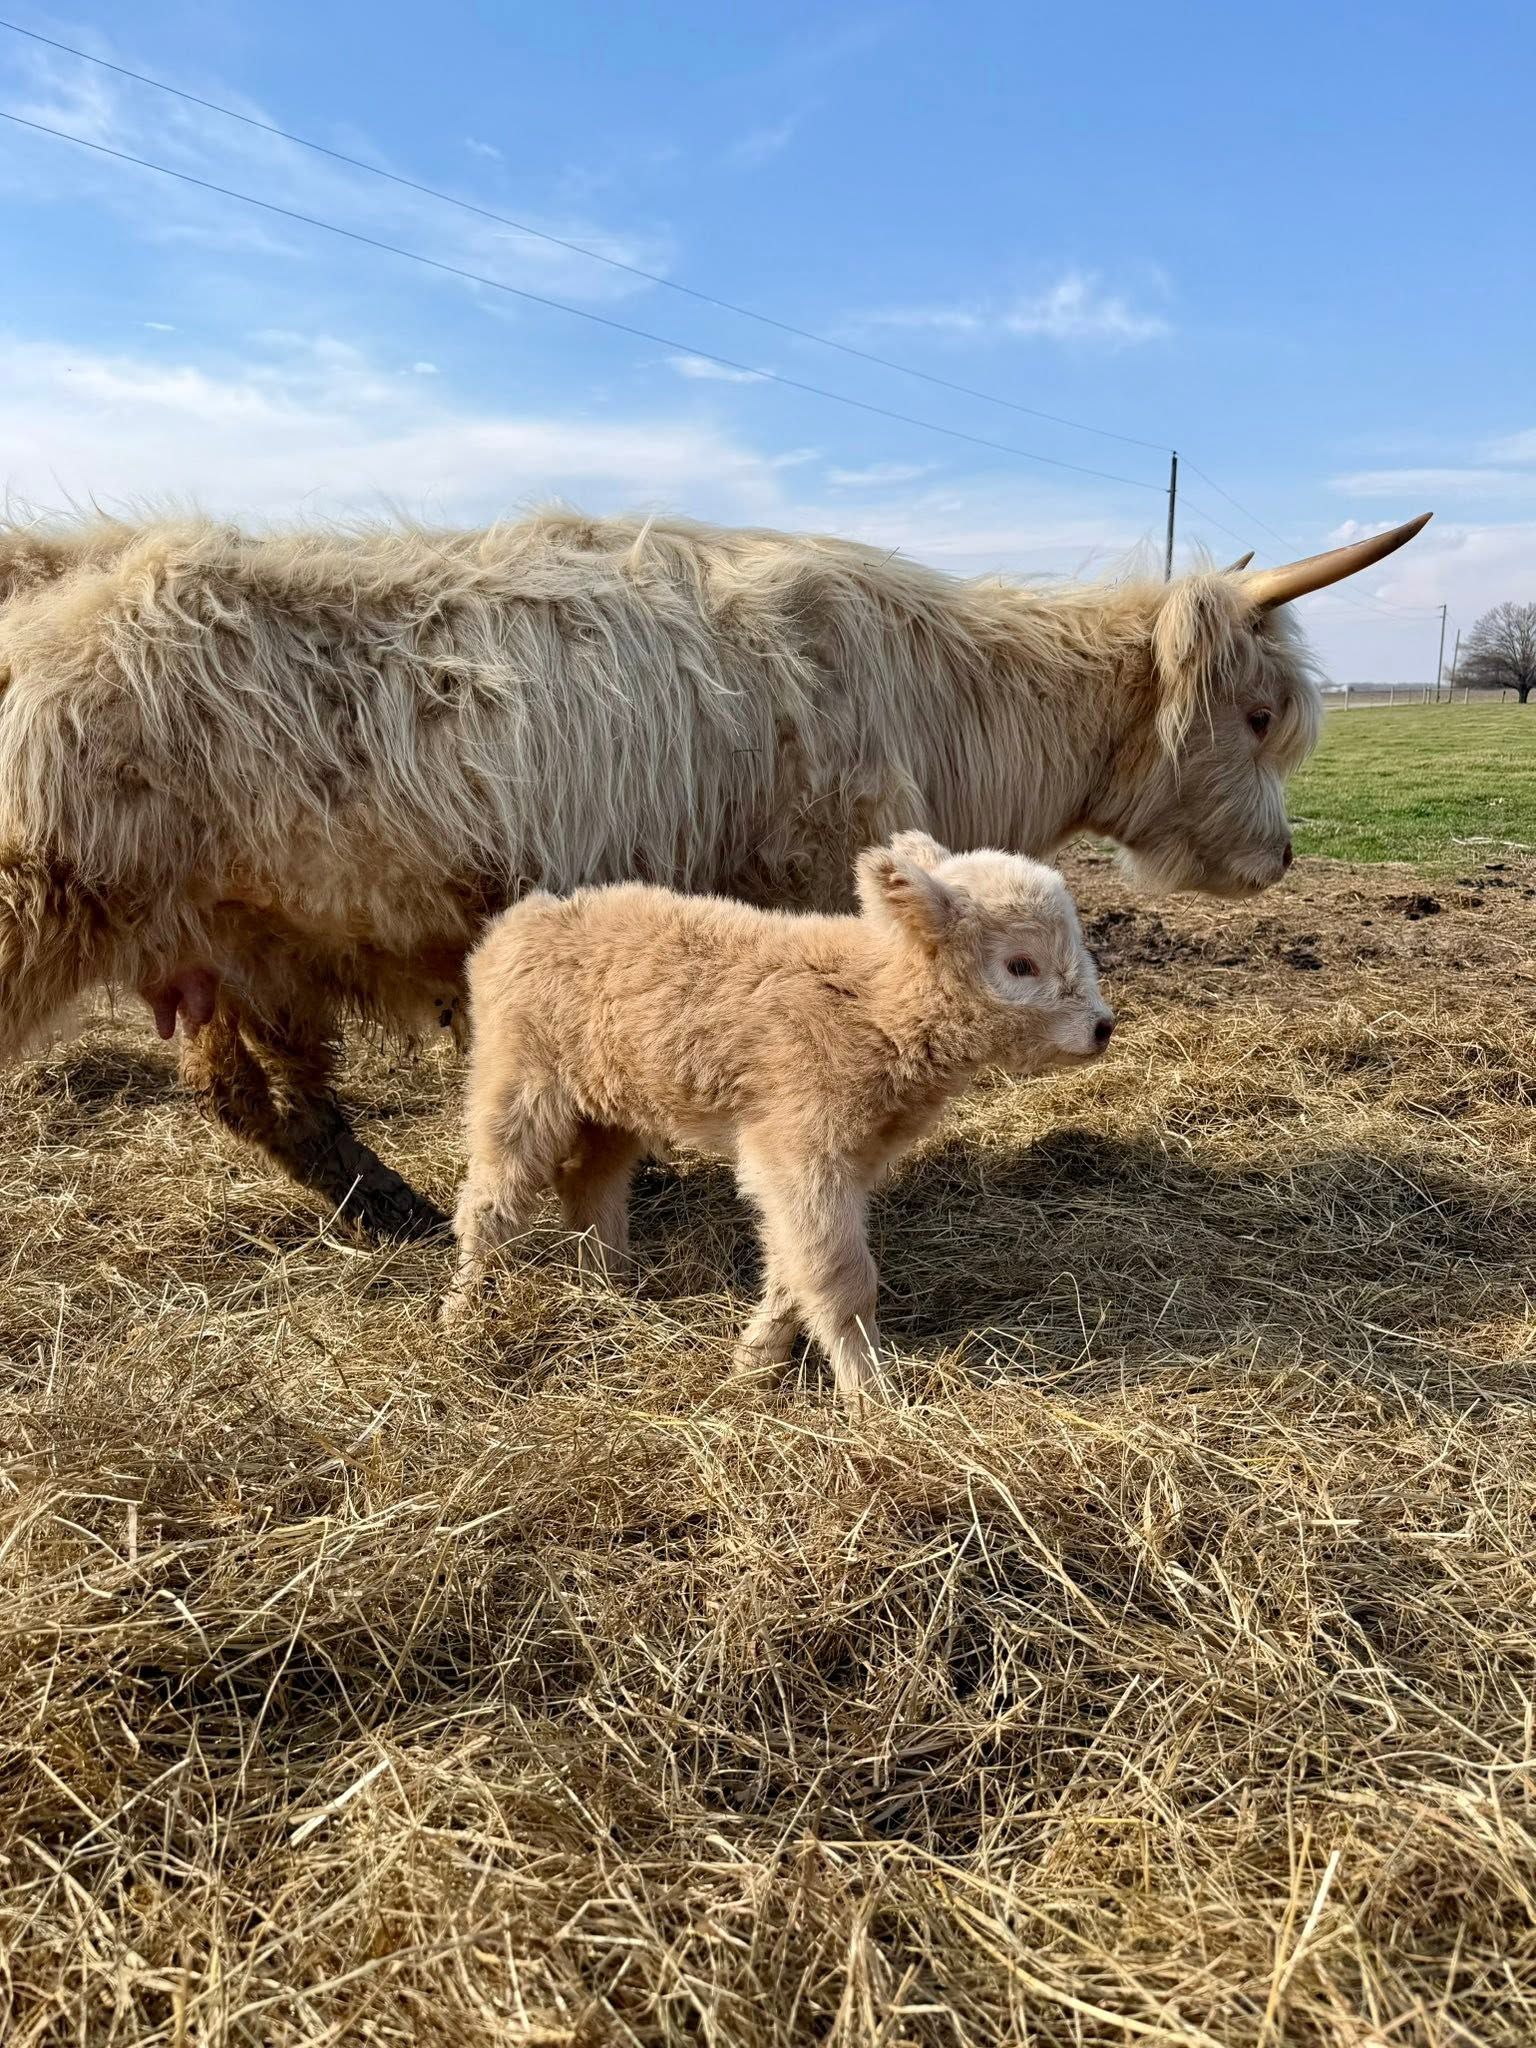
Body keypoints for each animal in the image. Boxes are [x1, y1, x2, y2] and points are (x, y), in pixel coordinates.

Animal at [0, 507, 1430, 1238]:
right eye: (1259, 714)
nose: (1283, 854)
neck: (955, 700)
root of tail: (78, 573)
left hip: (224, 941)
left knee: (253, 1093)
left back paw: (394, 1208)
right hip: (48, 894)